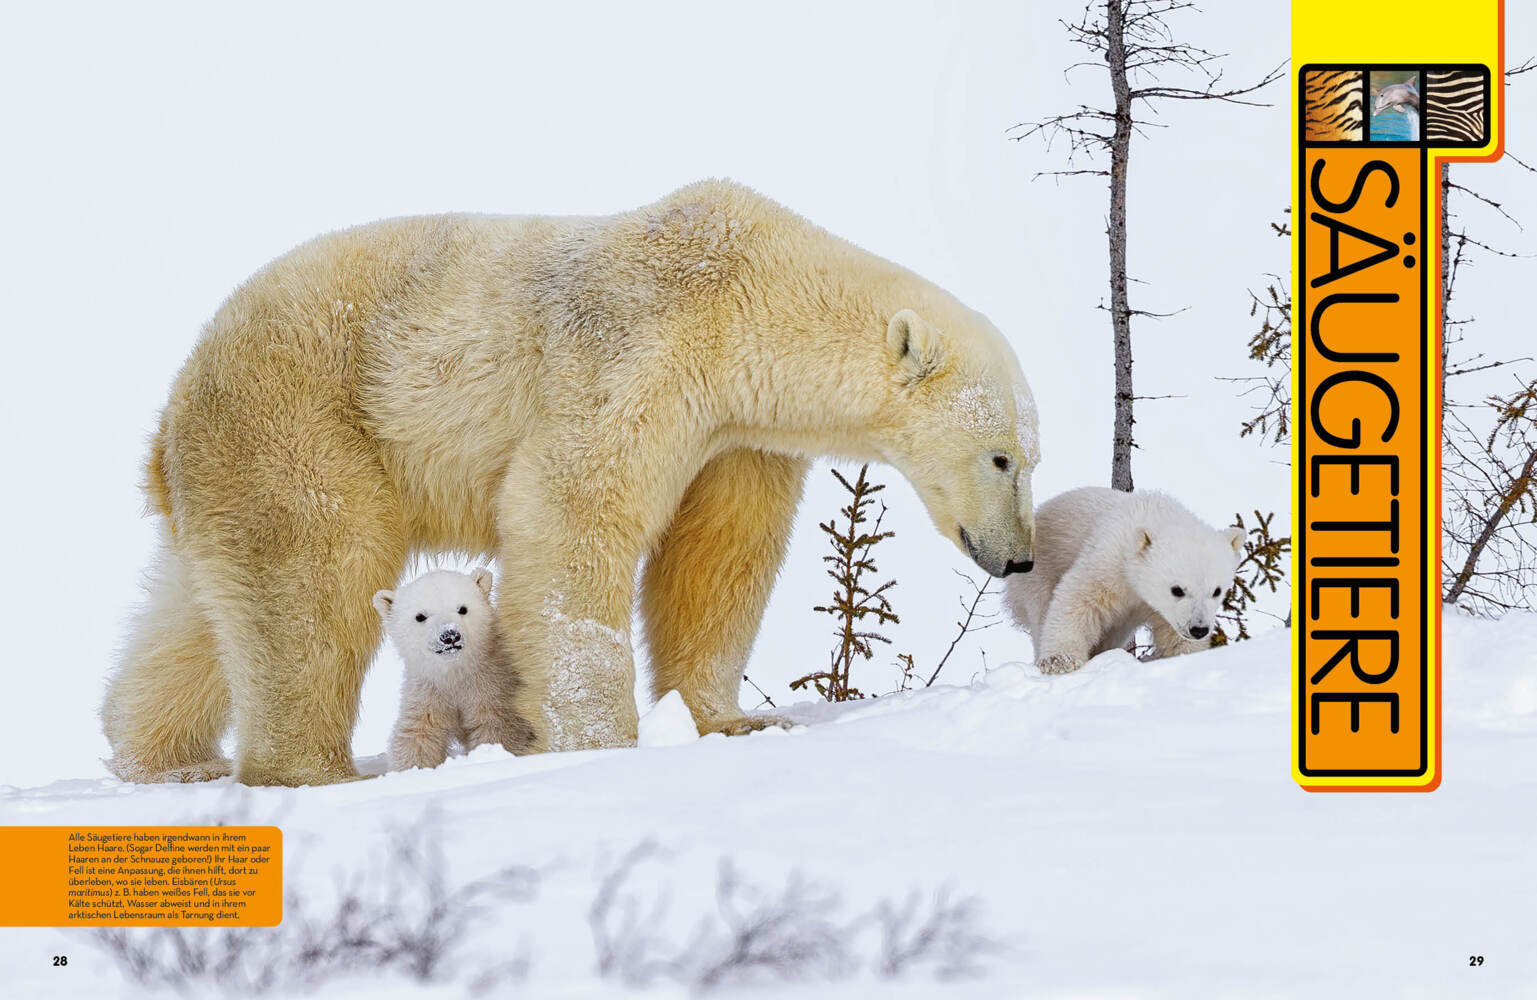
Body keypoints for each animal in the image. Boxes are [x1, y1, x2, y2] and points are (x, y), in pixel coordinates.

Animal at [102, 182, 1045, 792]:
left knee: (194, 613)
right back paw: (306, 770)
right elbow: (570, 519)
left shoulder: (735, 435)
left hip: (231, 459)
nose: (1019, 559)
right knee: (313, 577)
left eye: (1032, 458)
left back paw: (165, 758)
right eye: (1003, 458)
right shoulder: (636, 352)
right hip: (306, 418)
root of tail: (180, 393)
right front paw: (599, 743)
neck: (742, 292)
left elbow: (715, 559)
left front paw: (731, 720)